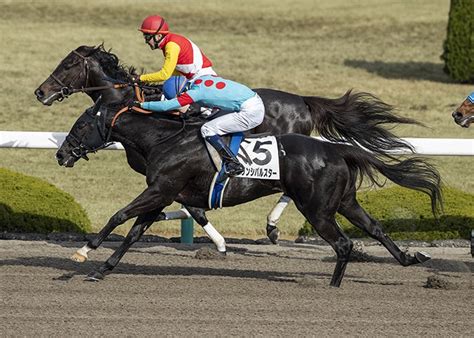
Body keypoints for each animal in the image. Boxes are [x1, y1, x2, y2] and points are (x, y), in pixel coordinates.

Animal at [38, 45, 422, 244]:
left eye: (68, 64)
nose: (41, 92)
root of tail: (303, 100)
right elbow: (187, 203)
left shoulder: (173, 172)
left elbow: (190, 204)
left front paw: (218, 241)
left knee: (289, 191)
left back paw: (271, 226)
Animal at [56, 99, 444, 286]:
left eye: (81, 124)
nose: (61, 154)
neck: (163, 139)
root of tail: (336, 149)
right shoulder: (163, 194)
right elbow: (134, 232)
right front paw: (102, 269)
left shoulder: (160, 189)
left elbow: (119, 216)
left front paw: (84, 250)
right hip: (345, 202)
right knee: (375, 228)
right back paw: (410, 258)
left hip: (317, 209)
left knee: (344, 244)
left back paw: (333, 286)